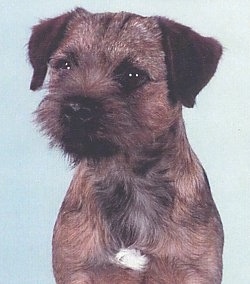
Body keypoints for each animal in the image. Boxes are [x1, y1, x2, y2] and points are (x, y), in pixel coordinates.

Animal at [28, 7, 224, 282]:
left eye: (132, 75)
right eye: (64, 65)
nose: (75, 109)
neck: (128, 179)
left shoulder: (194, 271)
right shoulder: (77, 271)